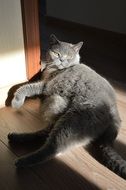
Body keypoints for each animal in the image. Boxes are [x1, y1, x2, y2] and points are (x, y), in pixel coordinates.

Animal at [8, 35, 126, 179]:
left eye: (68, 57)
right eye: (57, 53)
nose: (62, 60)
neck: (53, 70)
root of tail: (115, 117)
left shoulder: (47, 85)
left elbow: (25, 87)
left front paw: (16, 102)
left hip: (71, 122)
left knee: (52, 148)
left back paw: (21, 161)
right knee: (45, 134)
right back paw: (16, 137)